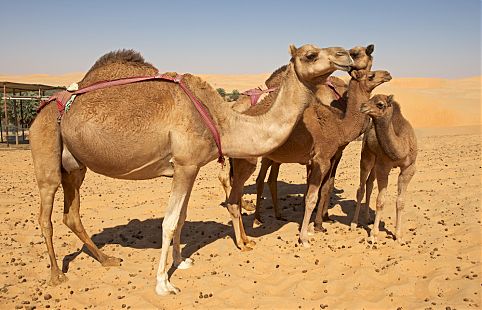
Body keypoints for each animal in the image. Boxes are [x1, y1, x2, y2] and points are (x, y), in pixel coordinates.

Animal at [30, 45, 352, 296]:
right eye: (311, 54)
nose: (346, 55)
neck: (220, 118)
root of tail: (42, 109)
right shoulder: (185, 165)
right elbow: (169, 222)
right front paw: (163, 284)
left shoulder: (192, 167)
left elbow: (182, 218)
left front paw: (181, 261)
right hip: (46, 153)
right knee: (45, 215)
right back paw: (57, 275)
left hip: (75, 167)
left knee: (71, 214)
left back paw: (107, 259)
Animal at [350, 93, 418, 243]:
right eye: (370, 99)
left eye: (380, 104)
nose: (362, 106)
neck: (401, 146)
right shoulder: (383, 167)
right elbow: (380, 201)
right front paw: (373, 236)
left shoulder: (409, 168)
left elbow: (400, 201)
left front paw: (398, 236)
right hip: (367, 156)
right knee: (361, 188)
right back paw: (354, 223)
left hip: (375, 161)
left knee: (369, 183)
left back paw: (368, 218)